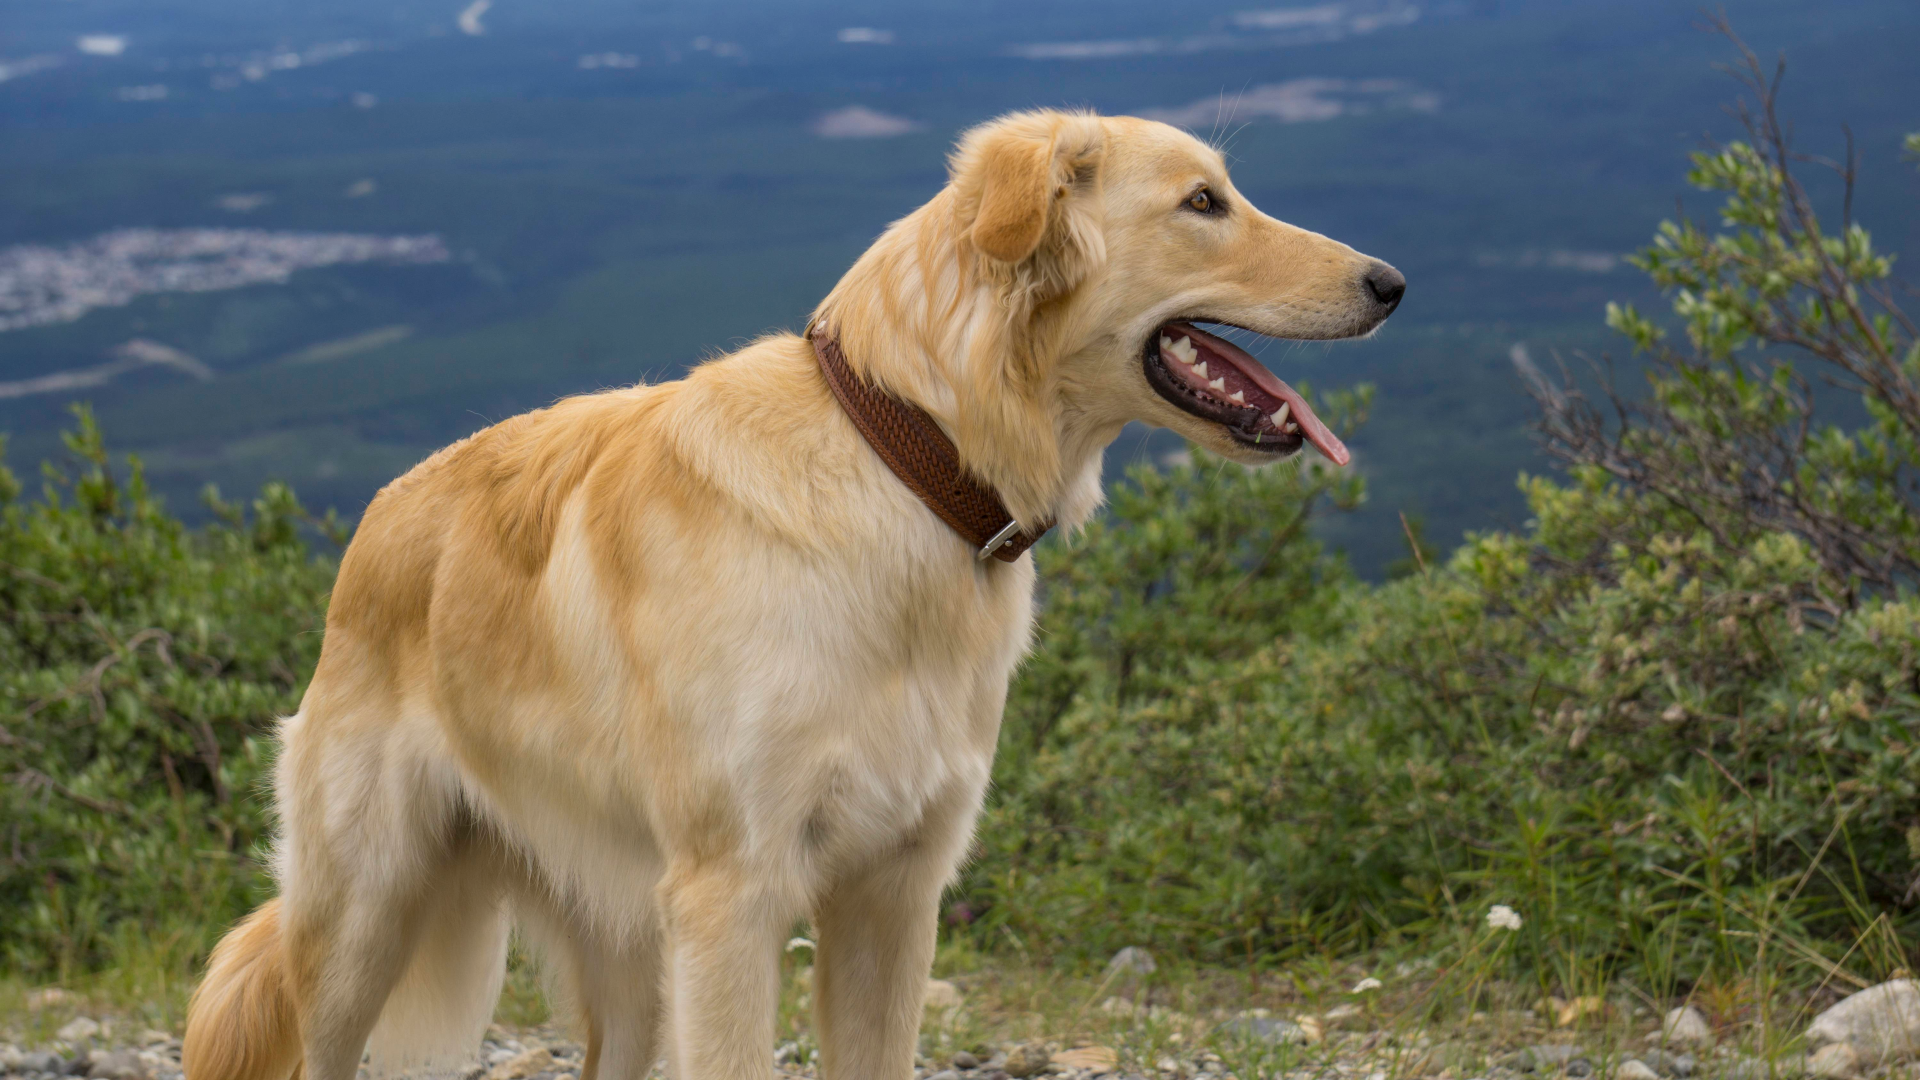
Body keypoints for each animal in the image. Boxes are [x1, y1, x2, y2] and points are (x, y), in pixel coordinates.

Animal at [187, 107, 1405, 1076]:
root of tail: (379, 520)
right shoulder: (735, 899)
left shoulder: (892, 899)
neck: (907, 465)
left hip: (625, 955)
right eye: (1204, 202)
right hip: (360, 928)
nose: (1392, 284)